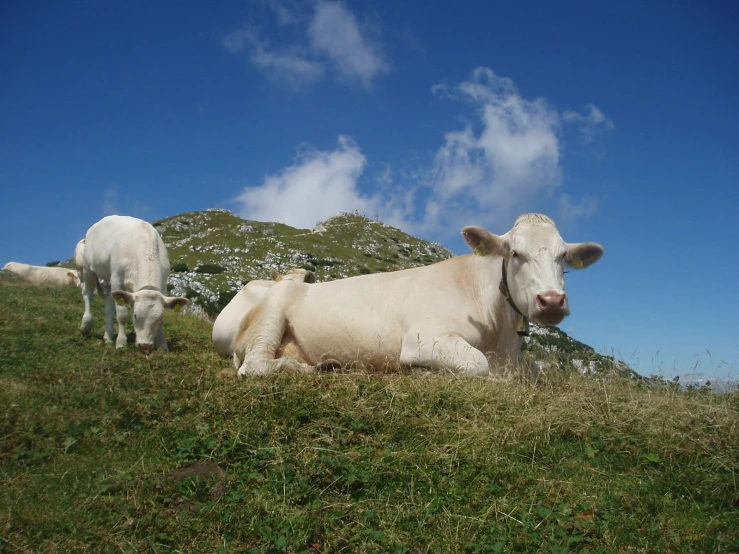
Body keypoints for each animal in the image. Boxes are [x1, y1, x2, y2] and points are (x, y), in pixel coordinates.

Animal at [80, 215, 189, 350]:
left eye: (160, 317)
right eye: (135, 315)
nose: (145, 345)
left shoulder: (163, 285)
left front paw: (162, 346)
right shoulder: (117, 279)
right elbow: (122, 314)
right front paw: (121, 342)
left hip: (108, 279)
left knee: (109, 306)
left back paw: (108, 336)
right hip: (88, 268)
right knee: (87, 294)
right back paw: (85, 325)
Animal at [234, 213, 604, 378]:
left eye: (563, 257)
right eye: (515, 253)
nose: (551, 301)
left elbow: (538, 372)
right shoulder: (423, 338)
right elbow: (478, 363)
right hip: (270, 318)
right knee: (254, 366)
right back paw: (304, 368)